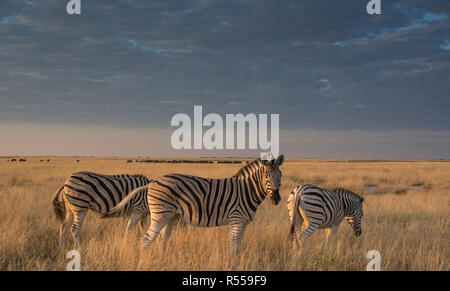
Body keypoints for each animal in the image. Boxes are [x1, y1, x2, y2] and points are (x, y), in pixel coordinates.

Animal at [109, 155, 284, 270]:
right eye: (266, 176)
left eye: (280, 176)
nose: (276, 199)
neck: (247, 191)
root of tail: (152, 182)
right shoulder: (237, 219)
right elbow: (234, 246)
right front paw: (232, 267)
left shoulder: (243, 223)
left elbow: (238, 246)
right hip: (160, 215)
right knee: (146, 240)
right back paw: (142, 265)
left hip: (171, 216)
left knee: (161, 240)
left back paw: (163, 264)